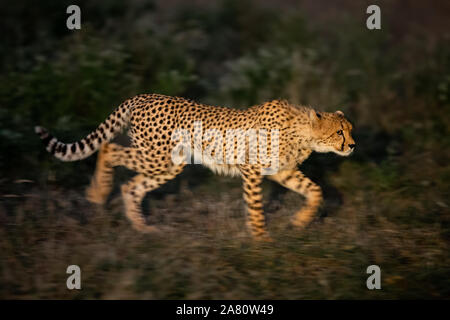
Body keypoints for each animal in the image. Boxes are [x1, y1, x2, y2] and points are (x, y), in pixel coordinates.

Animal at [36, 94, 356, 241]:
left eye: (349, 130)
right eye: (339, 132)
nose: (353, 145)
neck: (302, 131)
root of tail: (143, 96)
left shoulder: (282, 171)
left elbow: (314, 191)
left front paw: (300, 222)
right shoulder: (252, 169)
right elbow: (255, 206)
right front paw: (261, 239)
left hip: (169, 164)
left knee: (130, 186)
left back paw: (142, 228)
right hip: (157, 157)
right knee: (108, 148)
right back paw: (98, 193)